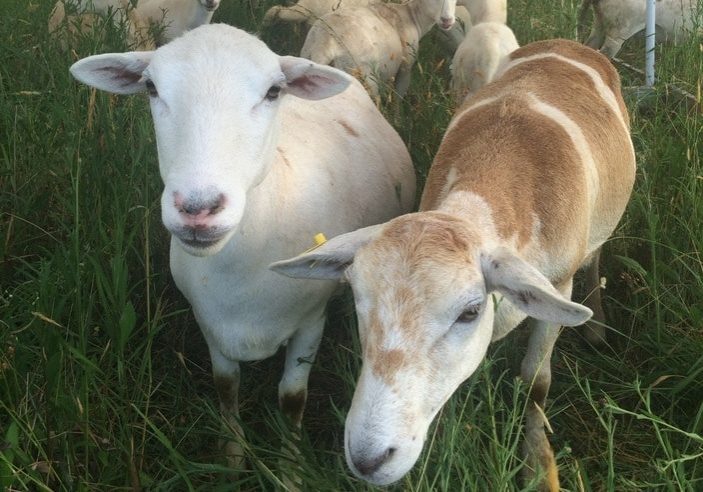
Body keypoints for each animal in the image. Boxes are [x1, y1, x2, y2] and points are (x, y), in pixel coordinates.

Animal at [69, 23, 415, 471]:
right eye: (150, 87)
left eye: (273, 91)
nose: (198, 209)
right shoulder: (209, 320)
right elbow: (226, 385)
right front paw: (232, 460)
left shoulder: (311, 320)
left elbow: (293, 398)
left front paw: (290, 468)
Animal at [272, 39, 635, 489]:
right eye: (358, 301)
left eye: (469, 312)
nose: (368, 458)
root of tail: (566, 43)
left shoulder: (559, 286)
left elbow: (536, 383)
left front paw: (538, 467)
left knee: (596, 258)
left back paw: (597, 325)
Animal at [300, 0, 458, 97]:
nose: (447, 20)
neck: (412, 17)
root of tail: (324, 43)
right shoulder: (405, 67)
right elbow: (398, 97)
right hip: (363, 75)